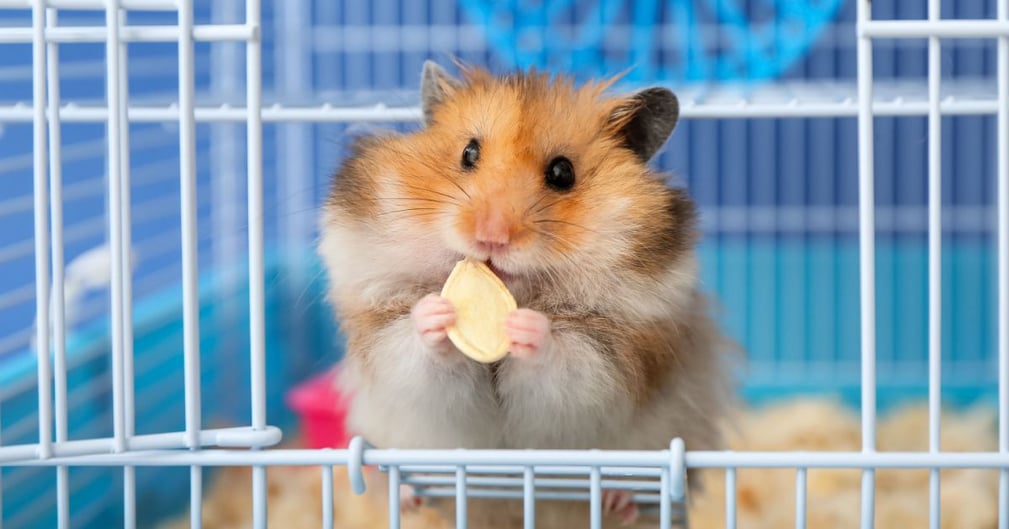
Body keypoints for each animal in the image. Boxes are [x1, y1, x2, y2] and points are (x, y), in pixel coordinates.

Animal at [318, 59, 738, 524]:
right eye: (468, 153)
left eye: (562, 173)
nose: (491, 237)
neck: (520, 291)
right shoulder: (386, 343)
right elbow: (414, 353)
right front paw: (436, 313)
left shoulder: (615, 361)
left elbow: (566, 362)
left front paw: (527, 327)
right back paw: (406, 494)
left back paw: (619, 498)